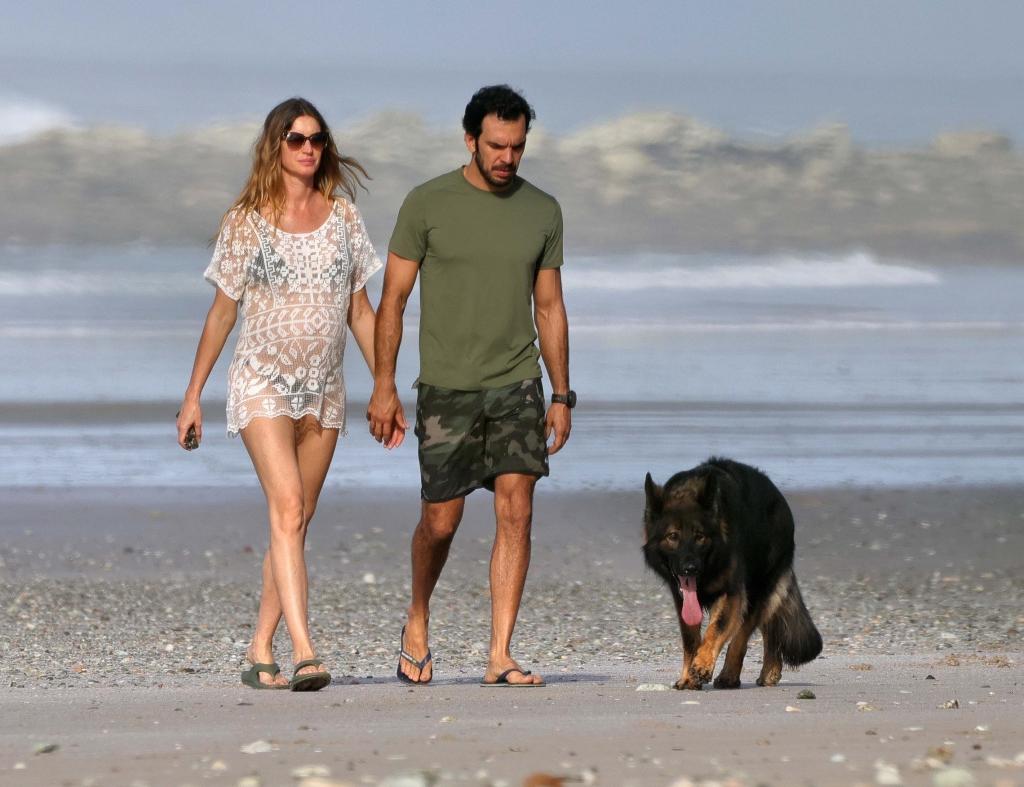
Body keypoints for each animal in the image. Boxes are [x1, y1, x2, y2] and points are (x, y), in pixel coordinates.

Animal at [643, 454, 819, 687]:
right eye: (673, 536)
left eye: (700, 536)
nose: (690, 569)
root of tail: (779, 497)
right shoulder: (682, 598)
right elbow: (691, 640)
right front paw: (688, 676)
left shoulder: (731, 593)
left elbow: (715, 630)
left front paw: (702, 665)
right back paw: (770, 670)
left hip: (756, 590)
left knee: (743, 635)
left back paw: (731, 675)